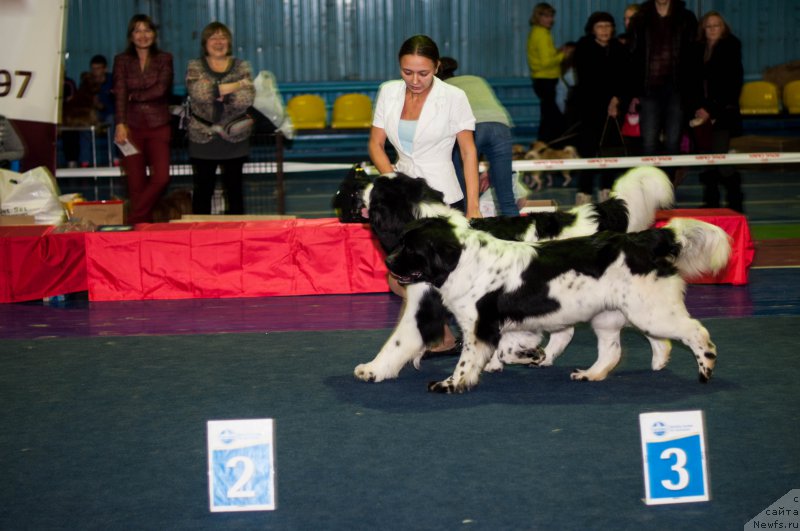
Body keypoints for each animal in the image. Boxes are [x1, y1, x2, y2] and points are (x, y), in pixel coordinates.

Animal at [336, 166, 676, 378]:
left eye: (376, 189)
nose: (353, 188)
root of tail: (597, 214)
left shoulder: (424, 303)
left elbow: (399, 340)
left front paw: (373, 369)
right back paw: (659, 358)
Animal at [382, 214, 732, 392]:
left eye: (410, 248)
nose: (386, 261)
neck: (464, 261)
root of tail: (644, 238)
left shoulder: (480, 327)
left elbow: (468, 360)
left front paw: (451, 383)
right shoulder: (508, 325)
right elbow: (507, 350)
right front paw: (533, 356)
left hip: (649, 310)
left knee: (696, 331)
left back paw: (706, 366)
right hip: (617, 314)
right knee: (616, 350)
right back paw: (596, 374)